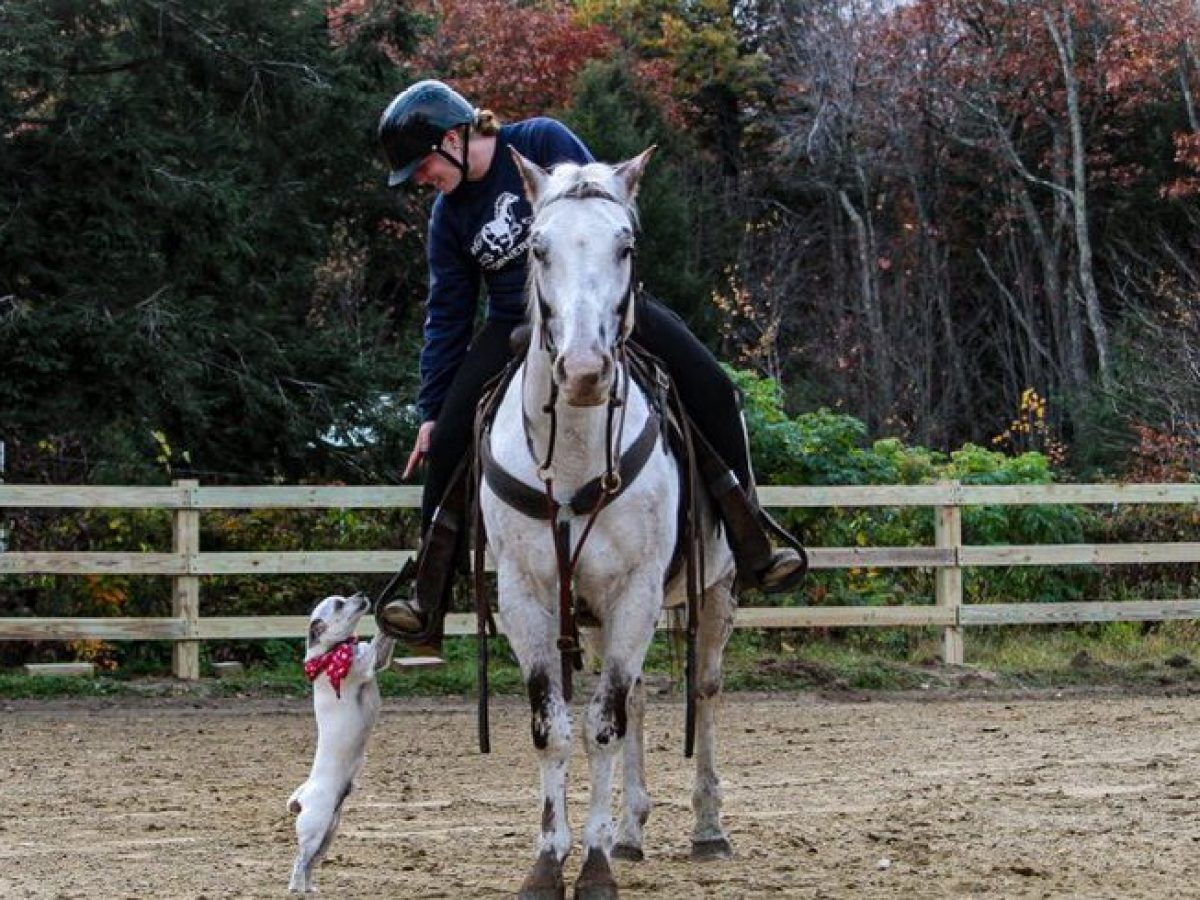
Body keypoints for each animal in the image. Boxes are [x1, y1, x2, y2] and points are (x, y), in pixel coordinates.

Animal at [479, 146, 738, 899]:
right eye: (538, 248)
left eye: (626, 246)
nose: (587, 370)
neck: (571, 460)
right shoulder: (527, 600)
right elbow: (556, 727)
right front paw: (550, 861)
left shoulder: (637, 594)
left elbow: (602, 726)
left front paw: (591, 867)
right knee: (641, 700)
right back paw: (629, 832)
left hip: (713, 595)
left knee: (702, 691)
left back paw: (707, 830)